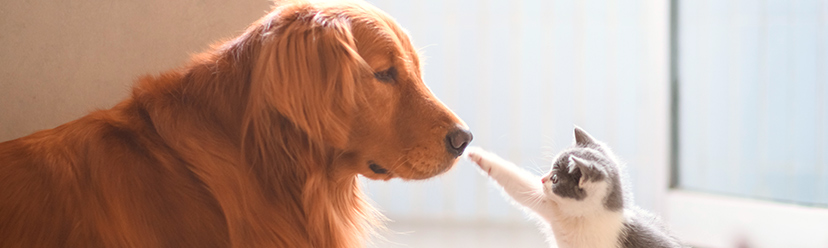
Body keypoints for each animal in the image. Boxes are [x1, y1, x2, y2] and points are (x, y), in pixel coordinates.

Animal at [468, 127, 684, 248]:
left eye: (555, 178)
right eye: (550, 170)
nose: (542, 179)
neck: (580, 219)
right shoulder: (551, 208)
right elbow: (519, 186)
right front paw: (478, 155)